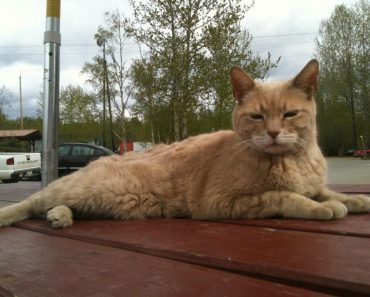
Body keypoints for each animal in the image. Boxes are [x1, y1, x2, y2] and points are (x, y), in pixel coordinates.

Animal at [0, 59, 368, 228]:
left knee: (52, 207)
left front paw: (355, 200)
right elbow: (284, 196)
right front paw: (322, 208)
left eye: (289, 114)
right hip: (81, 189)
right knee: (32, 202)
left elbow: (326, 191)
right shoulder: (220, 203)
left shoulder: (312, 183)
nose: (275, 133)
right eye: (257, 117)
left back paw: (61, 216)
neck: (293, 160)